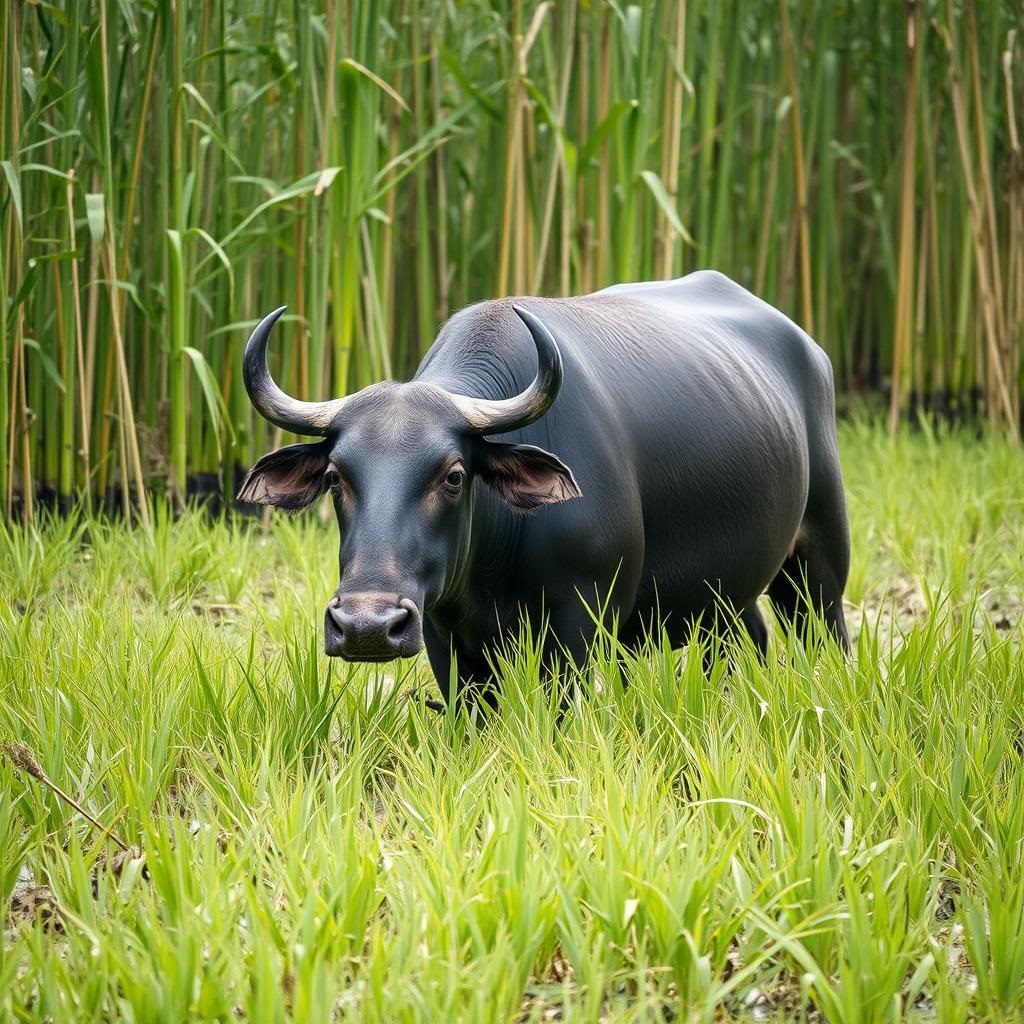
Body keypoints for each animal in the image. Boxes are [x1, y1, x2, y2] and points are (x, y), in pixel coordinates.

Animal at [239, 271, 850, 708]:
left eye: (454, 476)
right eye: (335, 476)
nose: (366, 626)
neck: (495, 568)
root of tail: (813, 352)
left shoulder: (582, 619)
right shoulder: (442, 630)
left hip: (819, 560)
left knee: (828, 632)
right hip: (728, 592)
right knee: (748, 635)